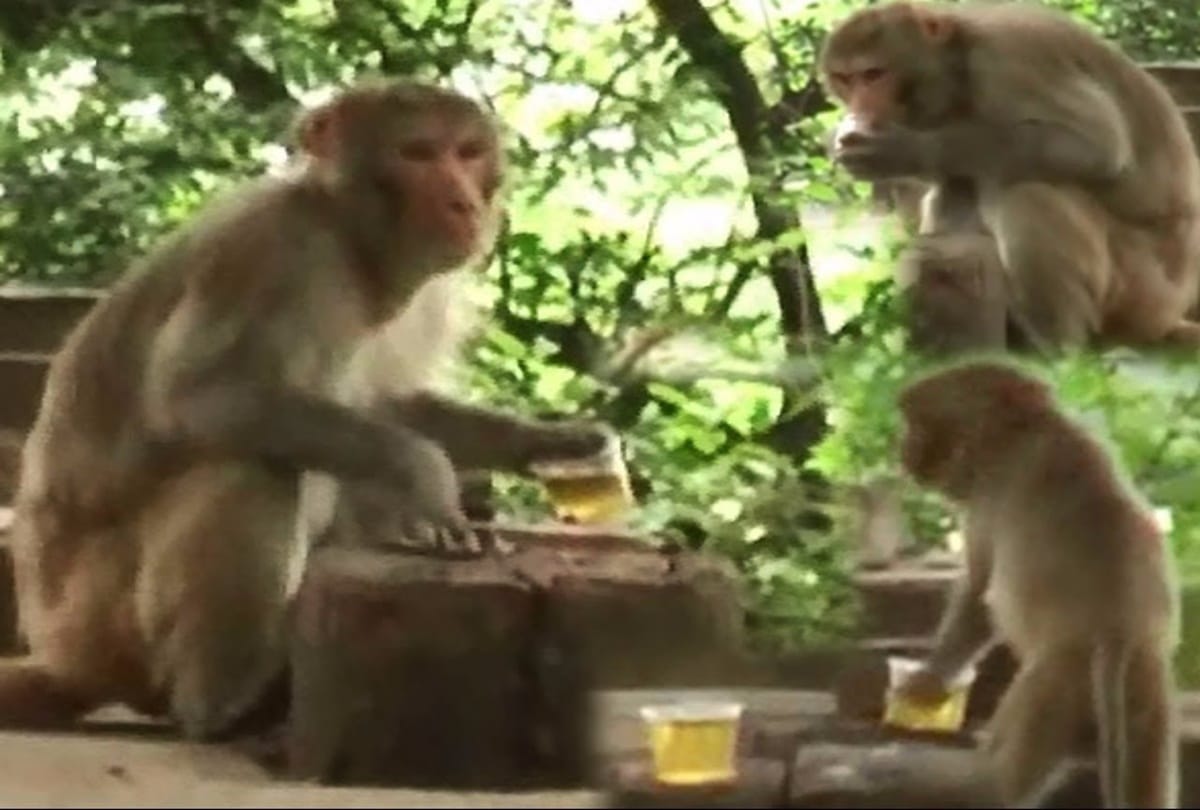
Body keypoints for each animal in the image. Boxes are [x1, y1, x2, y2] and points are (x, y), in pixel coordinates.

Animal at [4, 77, 611, 742]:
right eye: (419, 153)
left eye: (467, 152)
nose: (462, 201)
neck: (351, 243)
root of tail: (63, 654)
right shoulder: (273, 254)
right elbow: (202, 395)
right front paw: (425, 474)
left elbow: (388, 403)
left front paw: (551, 442)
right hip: (101, 623)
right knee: (248, 469)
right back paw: (224, 708)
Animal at [819, 1, 1200, 355]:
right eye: (845, 78)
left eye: (873, 74)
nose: (858, 107)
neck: (960, 67)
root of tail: (1173, 309)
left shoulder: (1009, 58)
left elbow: (1098, 145)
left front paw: (906, 149)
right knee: (958, 188)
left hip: (1141, 289)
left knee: (1026, 193)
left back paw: (1063, 354)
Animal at [891, 358, 1180, 808]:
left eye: (916, 425)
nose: (904, 454)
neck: (1023, 428)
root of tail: (1119, 634)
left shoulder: (990, 493)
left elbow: (979, 590)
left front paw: (931, 678)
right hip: (1147, 692)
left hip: (1052, 685)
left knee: (997, 783)